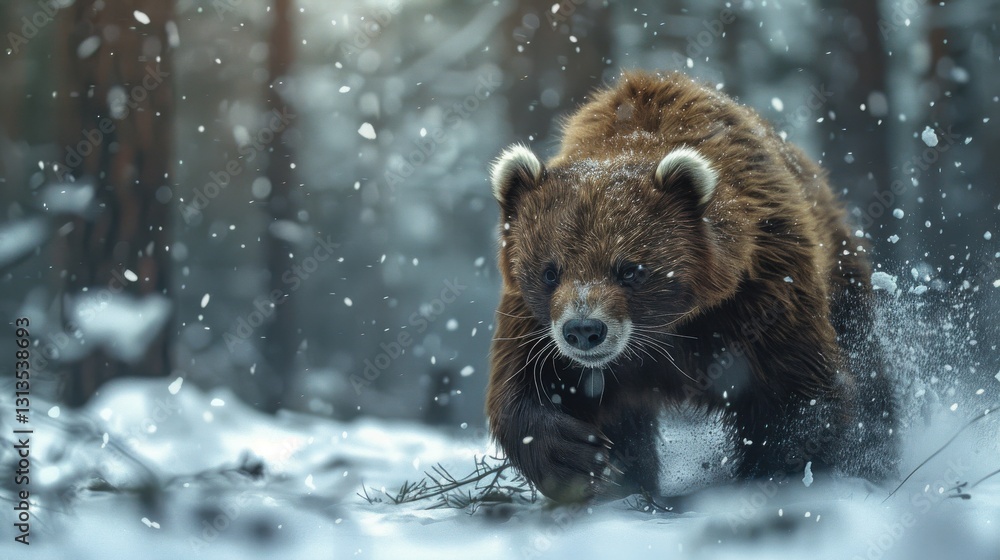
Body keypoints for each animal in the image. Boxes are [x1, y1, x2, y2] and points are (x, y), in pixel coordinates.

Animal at [485, 71, 898, 503]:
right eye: (550, 271)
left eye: (629, 269)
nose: (583, 330)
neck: (669, 326)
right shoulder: (535, 323)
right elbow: (525, 388)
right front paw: (581, 457)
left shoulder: (760, 290)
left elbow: (798, 392)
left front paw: (775, 473)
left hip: (837, 268)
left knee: (867, 364)